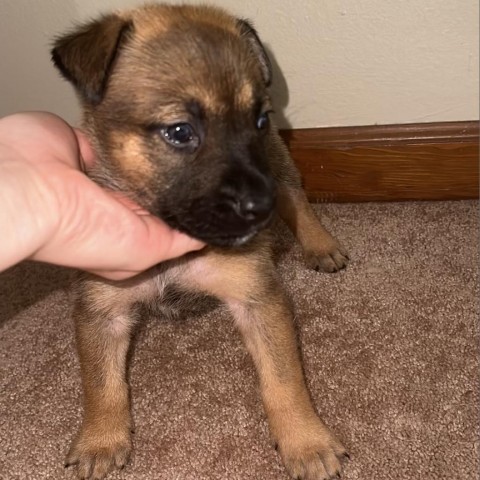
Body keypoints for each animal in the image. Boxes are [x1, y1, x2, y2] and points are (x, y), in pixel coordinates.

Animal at [52, 4, 348, 480]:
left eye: (258, 120)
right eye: (179, 131)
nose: (260, 207)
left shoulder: (257, 298)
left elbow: (284, 380)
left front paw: (306, 441)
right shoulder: (102, 310)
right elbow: (101, 383)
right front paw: (101, 439)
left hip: (278, 162)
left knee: (296, 197)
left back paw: (320, 244)